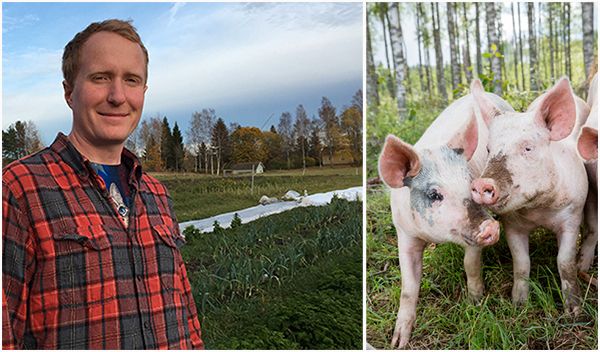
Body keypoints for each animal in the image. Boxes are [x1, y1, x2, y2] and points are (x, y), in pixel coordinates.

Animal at [378, 80, 512, 350]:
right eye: (434, 194)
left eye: (470, 183)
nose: (491, 227)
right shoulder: (404, 233)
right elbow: (408, 287)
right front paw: (398, 342)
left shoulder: (472, 236)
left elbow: (471, 264)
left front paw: (475, 303)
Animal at [472, 76, 588, 314]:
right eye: (488, 149)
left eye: (528, 148)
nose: (481, 183)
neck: (539, 210)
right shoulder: (512, 225)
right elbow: (521, 263)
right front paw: (518, 305)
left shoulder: (572, 216)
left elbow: (565, 262)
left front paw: (573, 311)